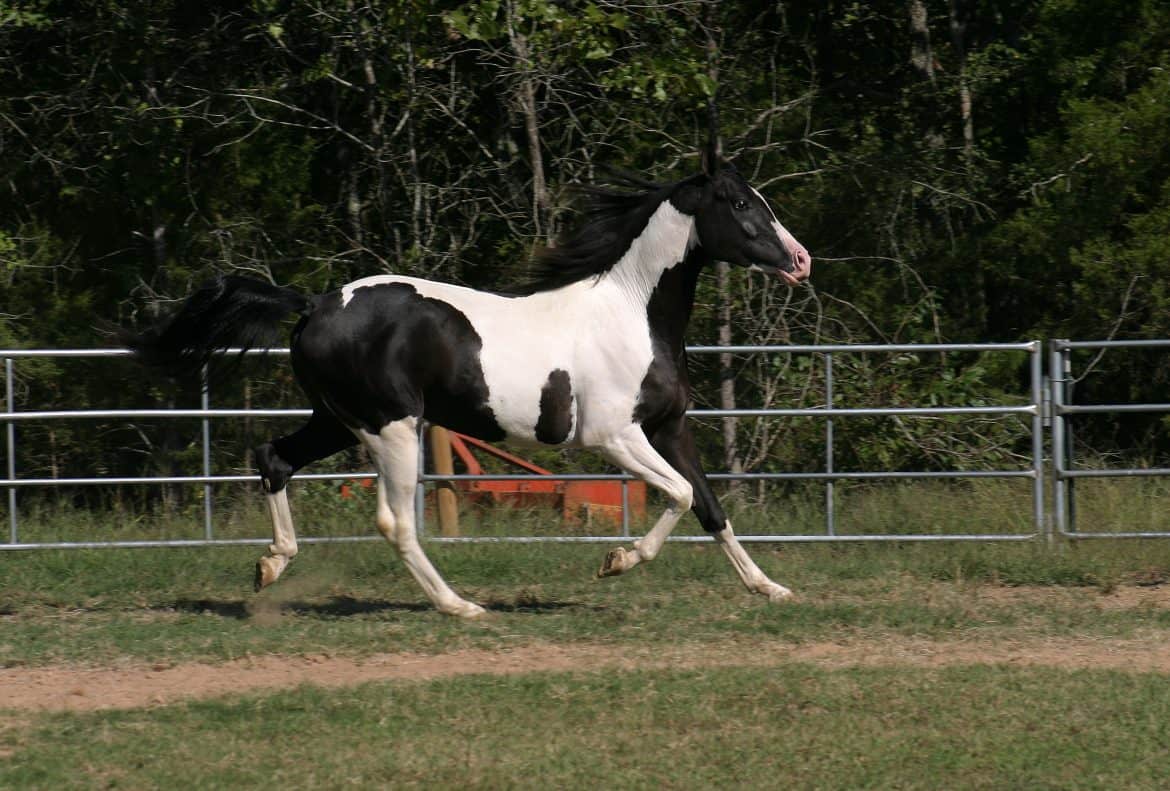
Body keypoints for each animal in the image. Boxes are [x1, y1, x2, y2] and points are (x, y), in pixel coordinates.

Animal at [127, 154, 811, 618]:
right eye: (741, 205)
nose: (800, 261)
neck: (631, 314)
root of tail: (314, 302)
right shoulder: (613, 436)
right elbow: (677, 493)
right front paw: (614, 562)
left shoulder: (669, 427)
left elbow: (709, 504)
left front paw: (771, 587)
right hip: (392, 428)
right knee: (393, 521)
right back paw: (459, 605)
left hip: (338, 420)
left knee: (274, 458)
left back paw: (270, 567)